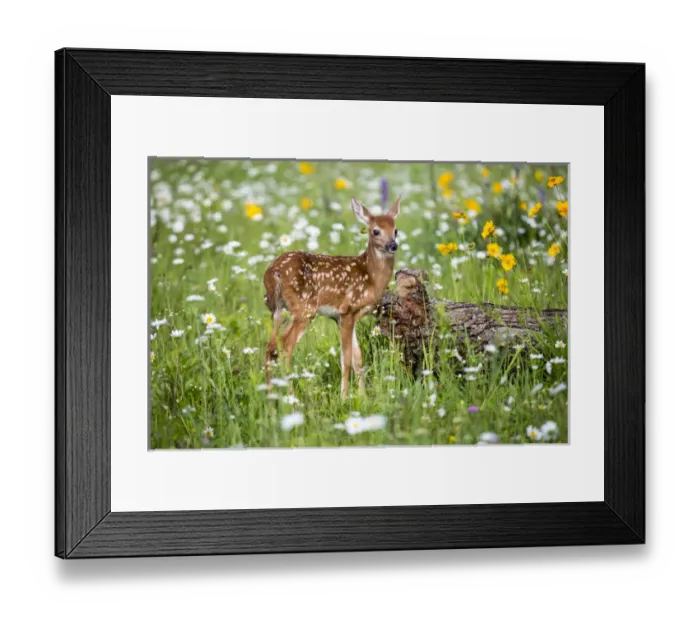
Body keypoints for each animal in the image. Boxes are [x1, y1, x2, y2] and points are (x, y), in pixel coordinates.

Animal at [263, 196, 401, 399]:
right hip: (304, 309)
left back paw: (270, 395)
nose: (392, 245)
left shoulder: (344, 317)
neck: (371, 277)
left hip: (278, 310)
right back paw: (291, 397)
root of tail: (274, 272)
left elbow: (358, 358)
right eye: (376, 231)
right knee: (285, 347)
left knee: (270, 348)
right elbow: (346, 359)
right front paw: (344, 397)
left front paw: (362, 397)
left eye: (395, 230)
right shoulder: (347, 311)